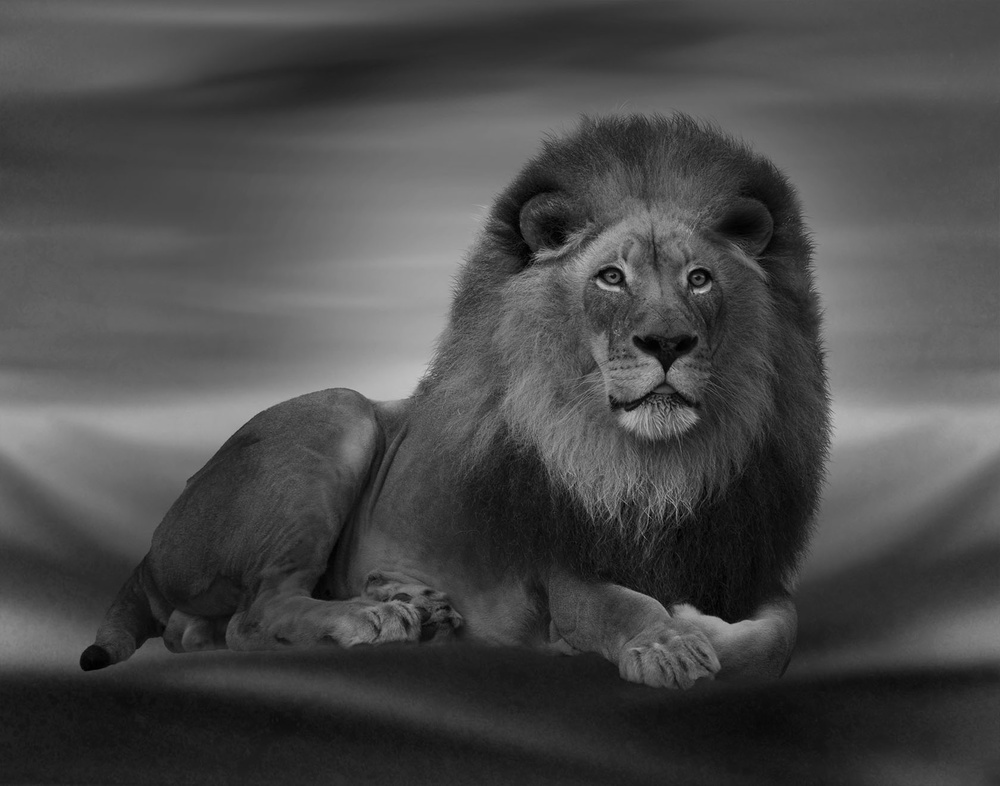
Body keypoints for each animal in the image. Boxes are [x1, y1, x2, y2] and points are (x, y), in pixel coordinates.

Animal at [80, 114, 830, 688]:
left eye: (699, 279)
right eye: (611, 277)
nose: (668, 342)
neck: (656, 466)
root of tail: (153, 545)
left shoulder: (749, 560)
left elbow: (780, 634)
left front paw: (701, 625)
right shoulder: (562, 568)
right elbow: (625, 605)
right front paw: (669, 642)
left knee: (202, 633)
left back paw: (409, 602)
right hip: (337, 413)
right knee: (252, 616)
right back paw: (377, 619)